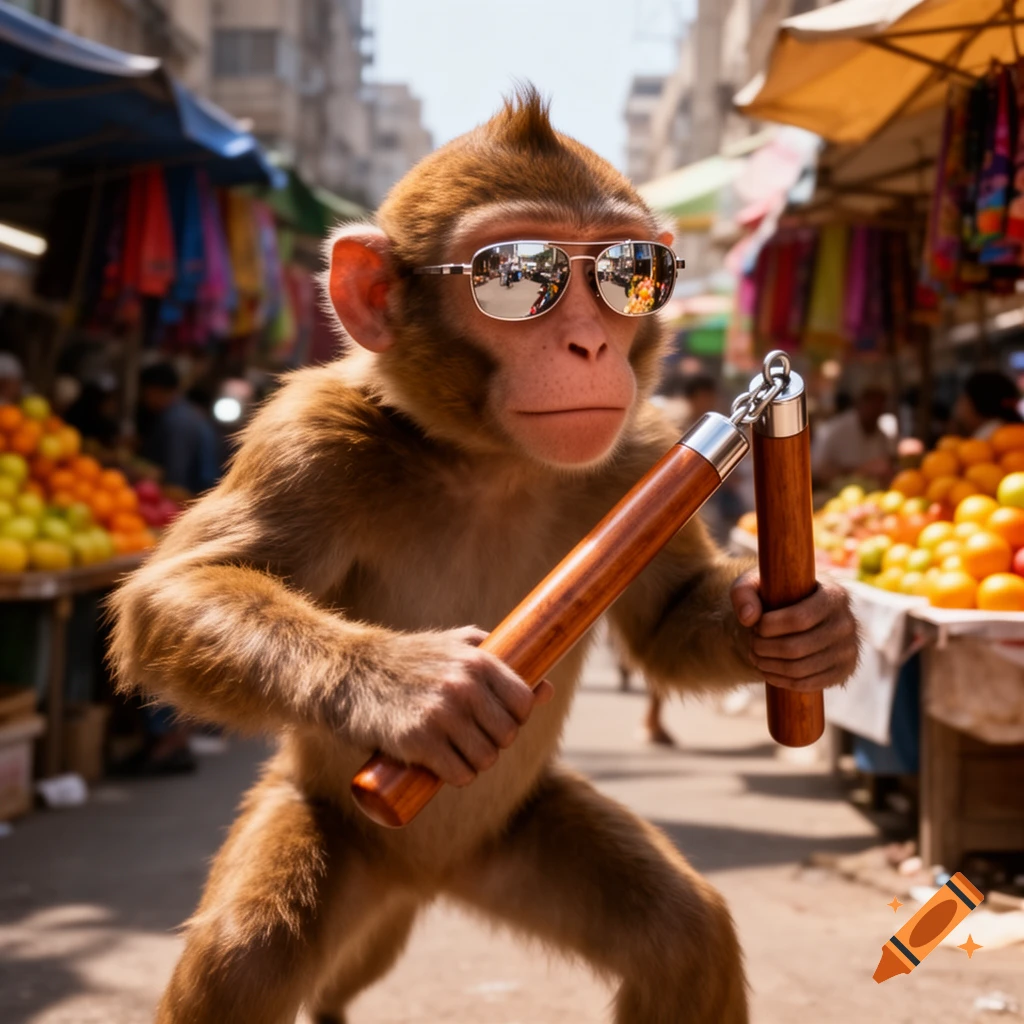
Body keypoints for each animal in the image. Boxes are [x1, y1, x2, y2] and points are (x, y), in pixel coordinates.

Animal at [108, 87, 858, 1024]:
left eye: (631, 271)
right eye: (519, 273)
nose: (590, 344)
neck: (493, 461)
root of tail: (422, 875)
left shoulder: (641, 452)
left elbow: (666, 618)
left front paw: (802, 635)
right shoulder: (312, 436)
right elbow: (175, 591)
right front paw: (419, 688)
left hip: (512, 838)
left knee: (685, 940)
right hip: (332, 822)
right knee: (242, 959)